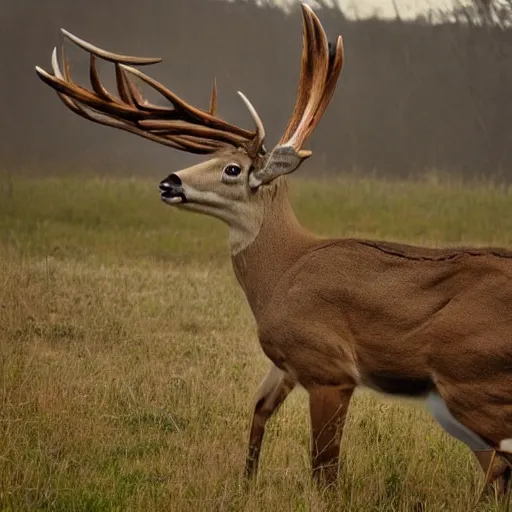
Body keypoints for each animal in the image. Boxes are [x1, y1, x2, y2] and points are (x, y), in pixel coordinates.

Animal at [36, 4, 512, 504]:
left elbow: (324, 469)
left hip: (470, 380)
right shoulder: (284, 362)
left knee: (497, 466)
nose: (168, 182)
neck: (283, 271)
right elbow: (259, 410)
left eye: (231, 169)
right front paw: (246, 484)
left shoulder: (327, 365)